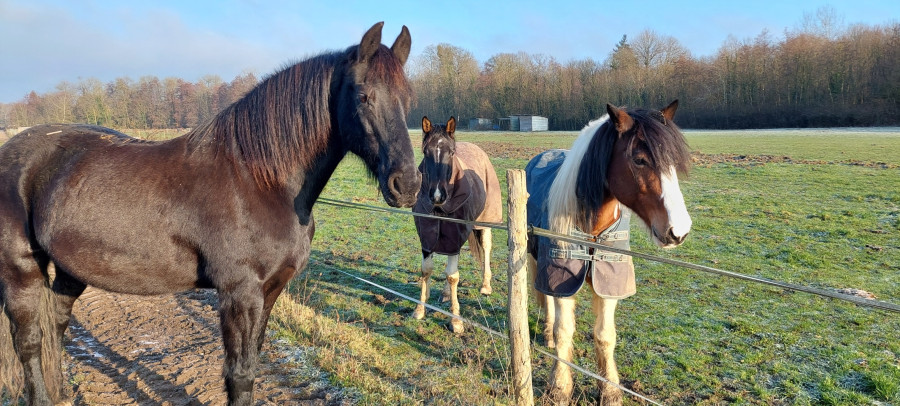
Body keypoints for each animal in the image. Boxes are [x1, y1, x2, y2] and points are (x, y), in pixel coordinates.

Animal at [0, 22, 418, 406]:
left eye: (408, 99)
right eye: (364, 96)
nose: (408, 185)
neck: (258, 179)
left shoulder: (270, 291)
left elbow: (252, 363)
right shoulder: (239, 292)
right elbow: (240, 375)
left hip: (71, 269)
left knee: (56, 324)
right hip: (21, 270)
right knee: (29, 341)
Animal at [411, 116, 502, 334]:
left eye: (451, 153)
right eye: (425, 152)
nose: (437, 195)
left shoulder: (455, 233)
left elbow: (453, 276)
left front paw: (456, 321)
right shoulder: (427, 234)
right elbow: (426, 270)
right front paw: (420, 309)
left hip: (484, 222)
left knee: (486, 248)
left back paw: (485, 285)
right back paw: (445, 294)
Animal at [525, 101, 692, 405]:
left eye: (674, 162)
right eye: (639, 160)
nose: (679, 230)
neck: (592, 228)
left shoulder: (610, 283)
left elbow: (605, 336)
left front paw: (610, 390)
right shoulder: (561, 278)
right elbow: (564, 330)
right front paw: (559, 387)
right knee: (547, 301)